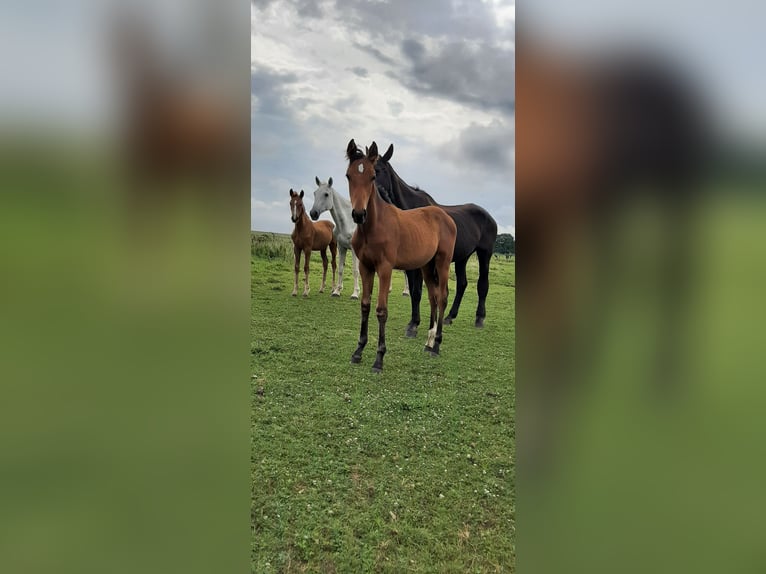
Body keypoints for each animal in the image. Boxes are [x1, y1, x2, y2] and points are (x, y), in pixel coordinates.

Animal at [345, 140, 457, 373]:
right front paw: (358, 351)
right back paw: (428, 342)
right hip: (426, 266)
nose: (359, 214)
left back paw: (436, 345)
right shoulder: (365, 267)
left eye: (373, 176)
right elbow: (365, 306)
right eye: (348, 175)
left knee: (442, 296)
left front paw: (379, 358)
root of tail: (445, 216)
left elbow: (381, 310)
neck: (374, 226)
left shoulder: (385, 268)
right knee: (433, 296)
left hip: (442, 263)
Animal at [374, 144, 498, 336]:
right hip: (462, 257)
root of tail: (488, 216)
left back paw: (479, 318)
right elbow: (416, 291)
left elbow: (418, 291)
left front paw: (414, 324)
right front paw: (415, 322)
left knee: (482, 284)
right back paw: (449, 316)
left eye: (379, 170)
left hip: (485, 254)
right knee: (462, 284)